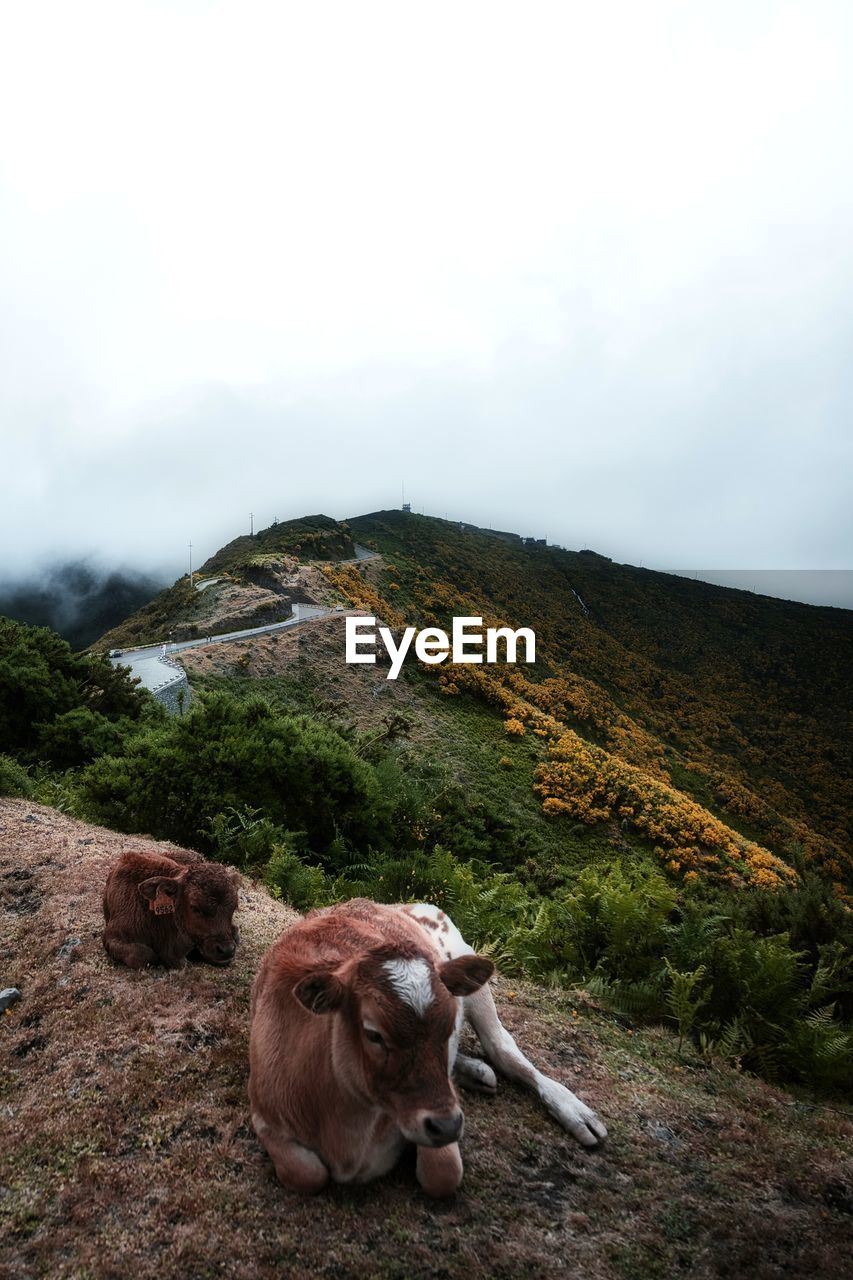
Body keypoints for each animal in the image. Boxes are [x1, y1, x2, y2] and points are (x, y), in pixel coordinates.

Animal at [245, 896, 604, 1192]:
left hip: (471, 971)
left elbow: (442, 1175)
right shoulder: (265, 1115)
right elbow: (307, 1175)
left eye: (449, 1025)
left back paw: (575, 1111)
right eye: (373, 1033)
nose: (448, 1125)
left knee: (504, 1050)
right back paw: (474, 1073)